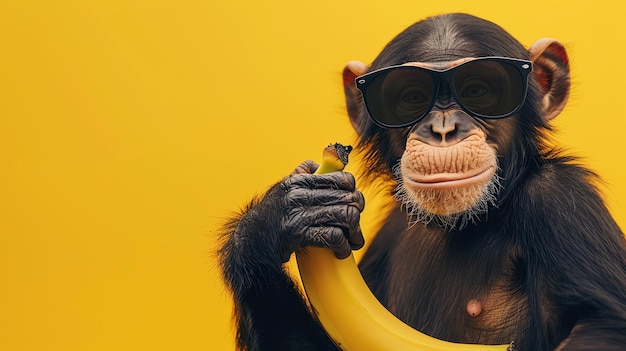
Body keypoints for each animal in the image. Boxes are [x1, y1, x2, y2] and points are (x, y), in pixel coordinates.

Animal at [216, 12, 624, 350]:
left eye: (478, 90)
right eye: (412, 96)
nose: (443, 129)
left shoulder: (561, 202)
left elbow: (604, 326)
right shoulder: (388, 231)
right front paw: (278, 217)